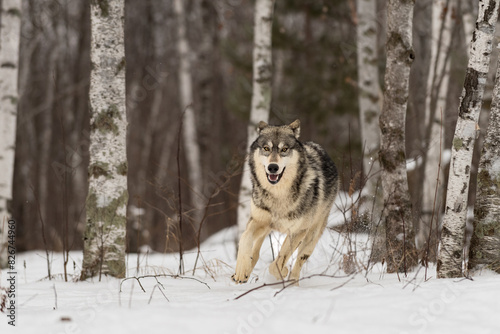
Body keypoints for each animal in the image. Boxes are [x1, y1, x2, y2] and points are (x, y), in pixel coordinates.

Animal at [232, 118, 338, 284]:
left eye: (284, 149)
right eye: (266, 148)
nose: (273, 167)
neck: (278, 195)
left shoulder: (298, 231)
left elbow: (278, 262)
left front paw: (283, 271)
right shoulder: (257, 220)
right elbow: (244, 239)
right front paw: (241, 271)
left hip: (311, 236)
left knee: (299, 262)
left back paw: (293, 282)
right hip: (266, 226)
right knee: (256, 251)